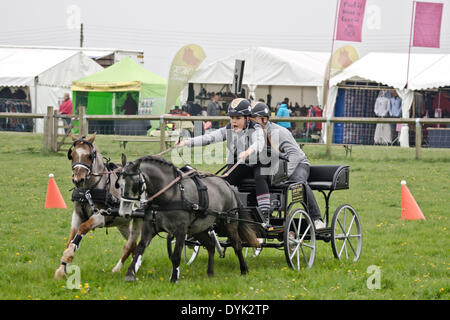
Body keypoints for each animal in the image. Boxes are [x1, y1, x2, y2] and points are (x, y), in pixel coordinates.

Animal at [117, 155, 260, 282]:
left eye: (135, 184)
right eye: (118, 184)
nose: (124, 212)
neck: (170, 194)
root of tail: (227, 185)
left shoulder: (181, 229)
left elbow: (176, 255)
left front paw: (174, 278)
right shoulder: (149, 227)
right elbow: (140, 248)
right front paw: (130, 274)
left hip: (229, 223)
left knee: (237, 245)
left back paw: (244, 269)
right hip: (199, 229)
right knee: (211, 245)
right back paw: (210, 272)